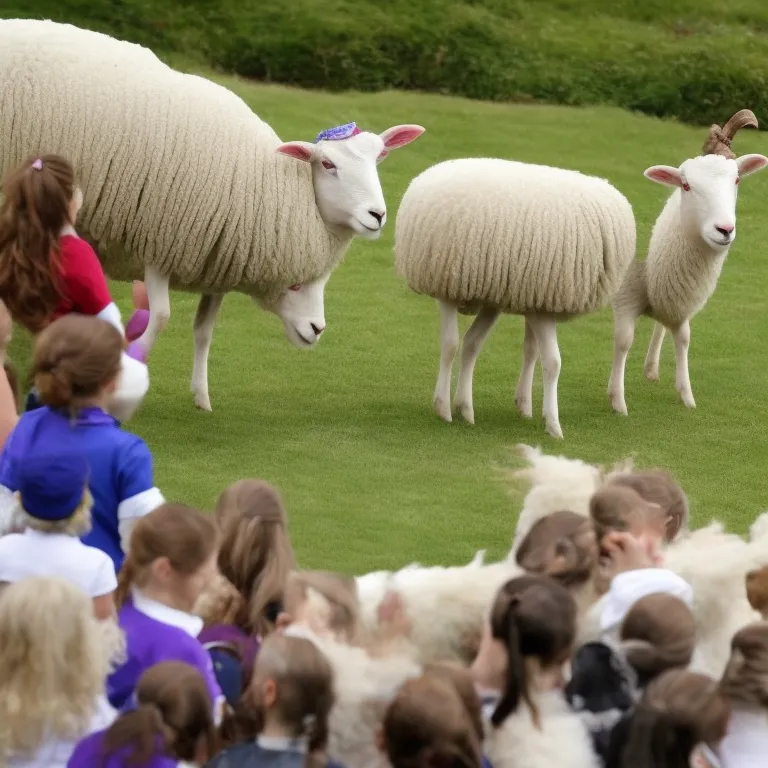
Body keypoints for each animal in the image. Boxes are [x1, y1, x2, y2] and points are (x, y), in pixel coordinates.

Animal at [0, 18, 426, 412]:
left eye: (380, 158)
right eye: (328, 164)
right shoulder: (159, 243)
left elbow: (204, 329)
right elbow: (161, 317)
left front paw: (201, 396)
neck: (266, 186)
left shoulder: (216, 261)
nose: (377, 214)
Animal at [392, 156, 632, 438]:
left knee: (471, 343)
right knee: (450, 344)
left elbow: (531, 351)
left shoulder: (537, 300)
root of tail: (425, 176)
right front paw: (553, 424)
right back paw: (443, 407)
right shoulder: (543, 303)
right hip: (445, 280)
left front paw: (526, 407)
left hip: (492, 296)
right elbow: (553, 362)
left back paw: (465, 408)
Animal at [608, 108, 764, 414]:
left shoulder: (680, 303)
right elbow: (623, 341)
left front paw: (686, 395)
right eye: (686, 185)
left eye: (737, 180)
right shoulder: (625, 295)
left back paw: (651, 369)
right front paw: (618, 401)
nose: (724, 229)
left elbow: (683, 339)